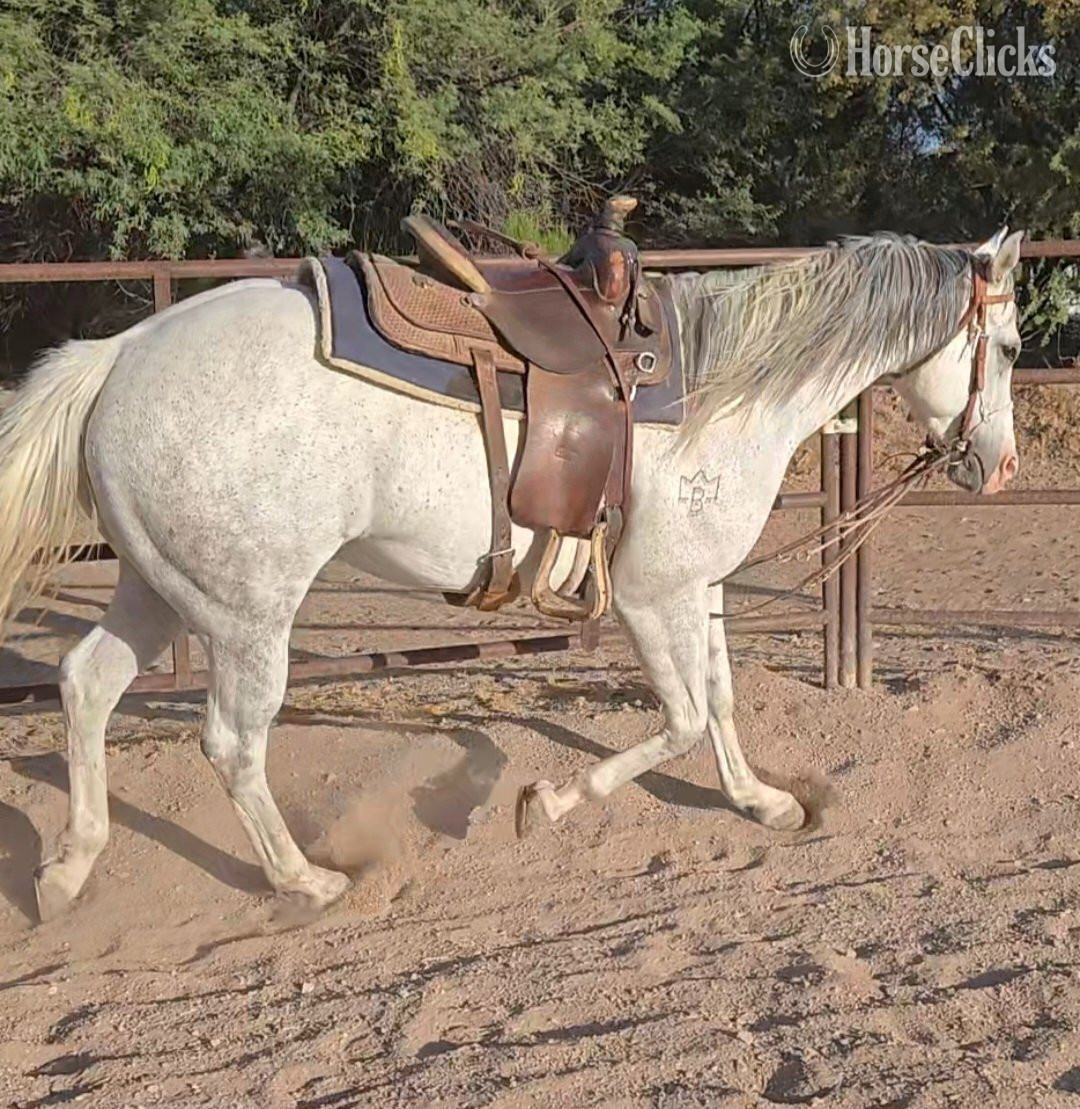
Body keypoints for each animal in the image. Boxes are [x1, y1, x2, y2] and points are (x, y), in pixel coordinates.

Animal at [0, 228, 1023, 920]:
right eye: (1011, 348)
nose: (1001, 468)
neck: (722, 388)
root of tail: (120, 355)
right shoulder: (649, 596)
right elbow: (684, 719)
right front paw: (547, 802)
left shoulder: (701, 585)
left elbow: (724, 704)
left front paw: (762, 802)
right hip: (247, 614)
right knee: (232, 744)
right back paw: (307, 879)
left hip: (158, 588)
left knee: (86, 684)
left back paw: (66, 870)